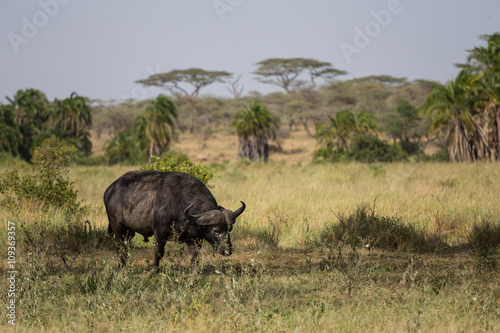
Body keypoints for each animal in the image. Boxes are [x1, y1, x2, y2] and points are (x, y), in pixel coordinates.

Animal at [104, 170, 246, 266]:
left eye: (229, 229)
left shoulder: (194, 238)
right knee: (120, 247)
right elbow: (159, 253)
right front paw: (154, 269)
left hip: (130, 232)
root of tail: (109, 190)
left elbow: (195, 256)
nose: (228, 250)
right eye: (216, 231)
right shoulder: (159, 233)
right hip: (118, 227)